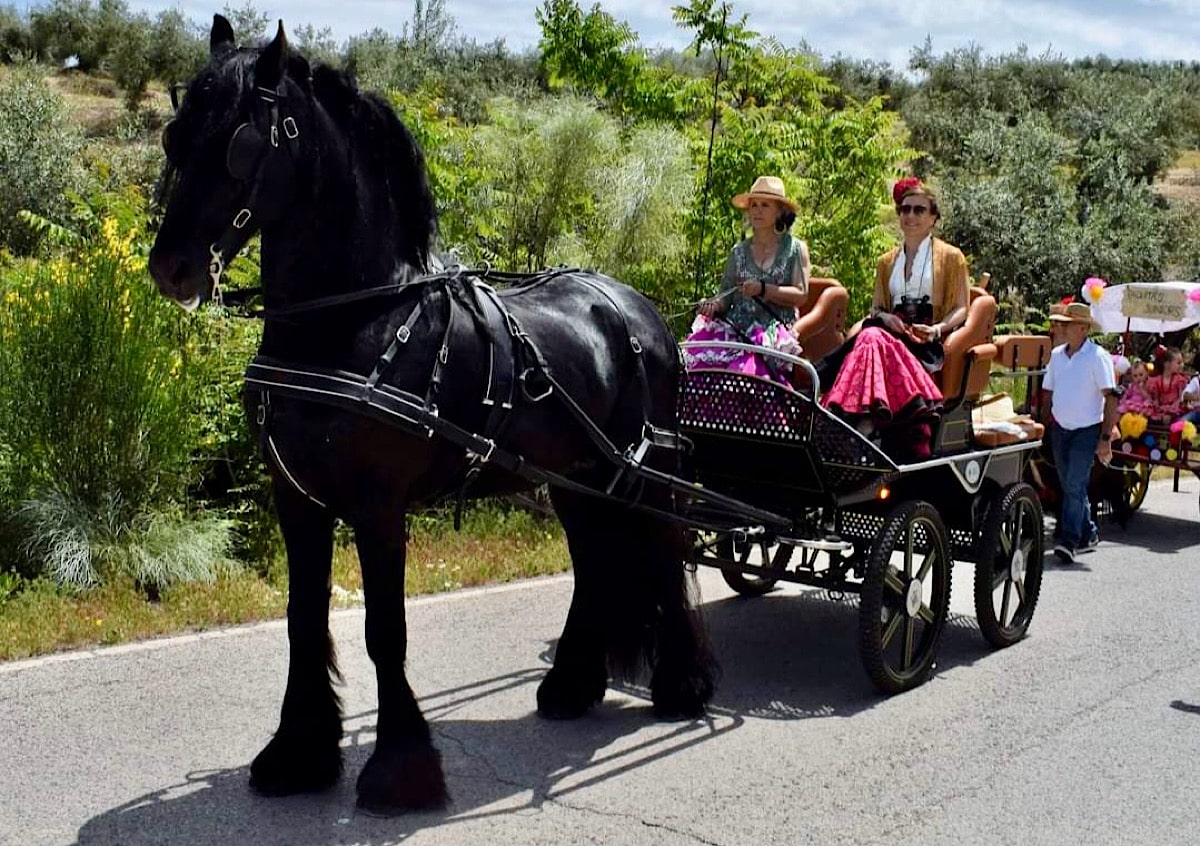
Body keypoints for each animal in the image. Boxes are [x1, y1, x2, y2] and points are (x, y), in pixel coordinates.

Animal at [148, 14, 710, 811]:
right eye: (176, 135)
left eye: (243, 142)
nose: (172, 268)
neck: (353, 317)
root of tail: (637, 309)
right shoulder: (298, 499)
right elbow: (302, 622)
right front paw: (298, 754)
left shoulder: (379, 506)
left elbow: (385, 632)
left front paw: (399, 770)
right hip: (576, 479)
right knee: (594, 561)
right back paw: (572, 684)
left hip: (644, 471)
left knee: (662, 549)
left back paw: (682, 684)